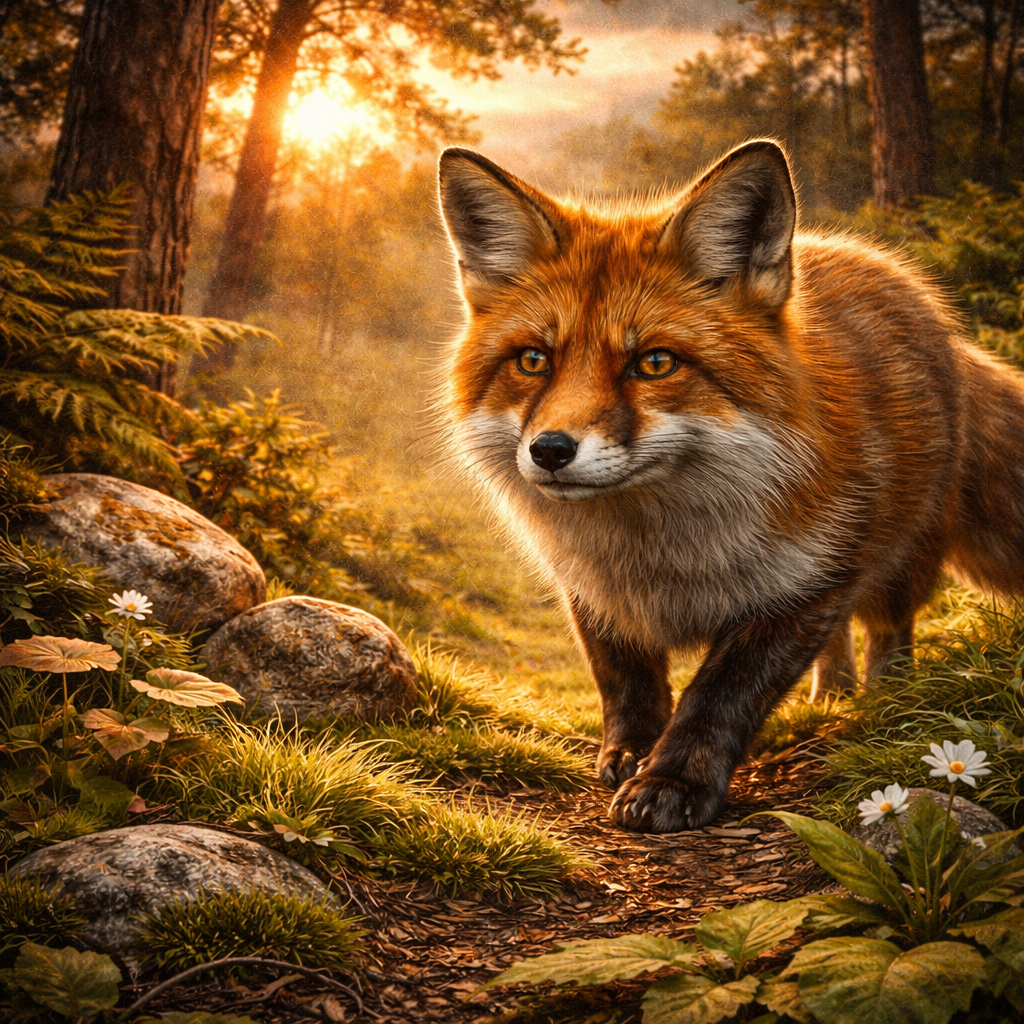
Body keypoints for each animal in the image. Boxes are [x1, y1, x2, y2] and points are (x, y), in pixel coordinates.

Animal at [435, 139, 1024, 833]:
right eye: (533, 360)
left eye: (655, 363)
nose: (550, 450)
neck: (661, 556)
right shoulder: (591, 587)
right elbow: (624, 678)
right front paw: (631, 750)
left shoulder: (805, 584)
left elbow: (718, 696)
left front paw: (672, 780)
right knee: (841, 643)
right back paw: (831, 697)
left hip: (900, 556)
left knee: (888, 630)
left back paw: (883, 704)